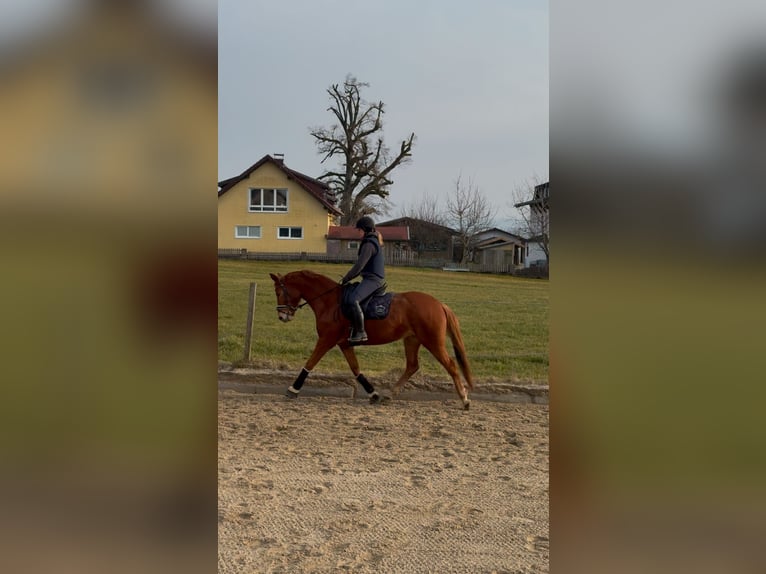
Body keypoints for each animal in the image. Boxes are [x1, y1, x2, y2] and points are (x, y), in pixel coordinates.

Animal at [270, 270, 474, 410]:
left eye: (279, 293)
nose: (282, 316)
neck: (329, 301)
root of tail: (439, 304)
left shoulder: (326, 340)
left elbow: (310, 363)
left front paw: (293, 389)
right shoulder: (344, 344)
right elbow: (356, 369)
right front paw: (373, 394)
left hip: (432, 341)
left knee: (451, 365)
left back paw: (464, 399)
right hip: (412, 340)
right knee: (412, 366)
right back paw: (389, 395)